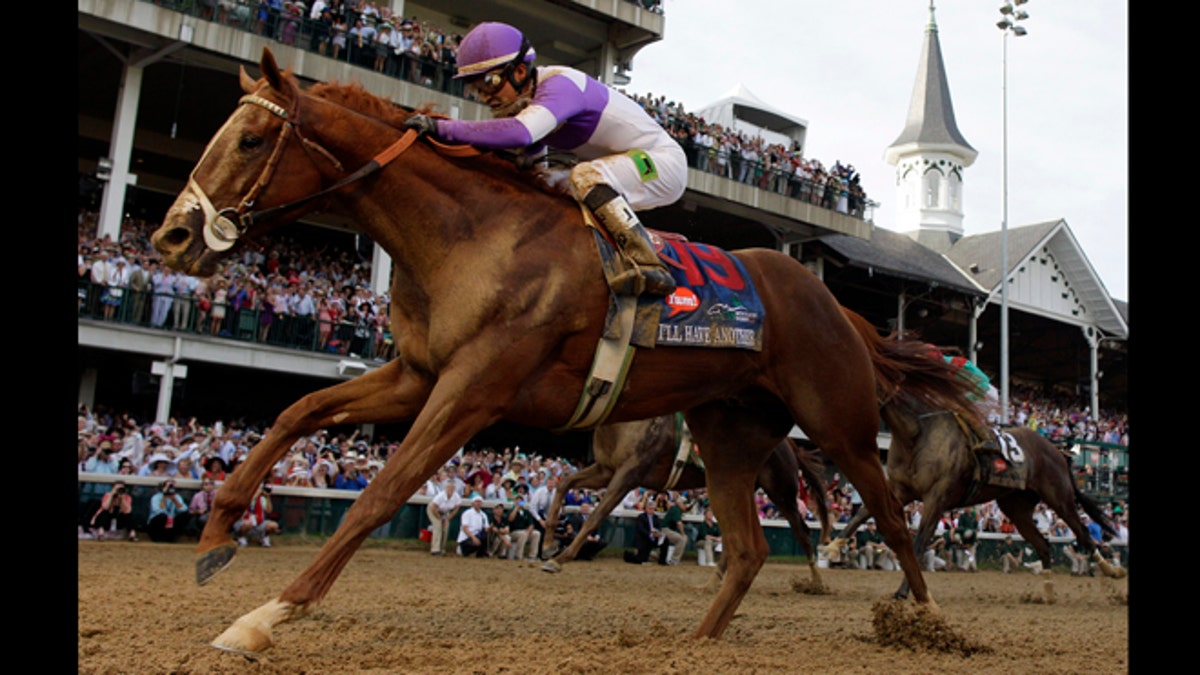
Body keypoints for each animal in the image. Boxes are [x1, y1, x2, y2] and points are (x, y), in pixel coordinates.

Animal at [540, 414, 832, 589]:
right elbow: (564, 485)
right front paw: (548, 545)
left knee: (801, 531)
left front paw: (559, 559)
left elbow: (595, 515)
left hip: (781, 490)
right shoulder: (605, 470)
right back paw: (714, 582)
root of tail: (788, 443)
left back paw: (817, 582)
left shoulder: (628, 474)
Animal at [828, 312, 1124, 600]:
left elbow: (918, 543)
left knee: (1084, 536)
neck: (916, 432)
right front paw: (833, 546)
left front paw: (904, 593)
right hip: (1017, 507)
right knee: (1044, 545)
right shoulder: (900, 490)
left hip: (1059, 497)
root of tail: (1058, 452)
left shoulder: (936, 497)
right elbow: (859, 516)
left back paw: (1112, 571)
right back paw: (1048, 593)